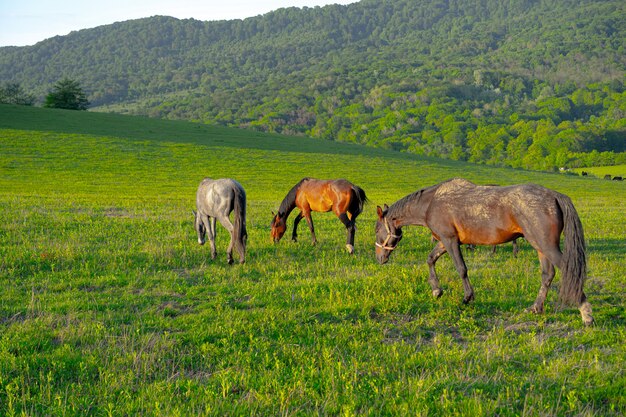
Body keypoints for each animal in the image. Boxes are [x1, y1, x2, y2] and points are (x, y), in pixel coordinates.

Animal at [372, 176, 592, 324]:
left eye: (376, 230)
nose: (379, 258)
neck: (431, 203)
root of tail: (554, 195)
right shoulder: (444, 241)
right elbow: (430, 259)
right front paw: (436, 290)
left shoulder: (450, 241)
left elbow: (461, 268)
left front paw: (467, 297)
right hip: (540, 246)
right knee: (547, 275)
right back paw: (536, 308)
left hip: (545, 245)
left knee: (569, 271)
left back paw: (586, 313)